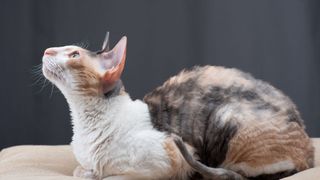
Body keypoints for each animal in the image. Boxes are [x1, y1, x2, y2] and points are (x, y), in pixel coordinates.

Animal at [41, 32, 314, 180]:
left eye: (74, 55)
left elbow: (112, 175)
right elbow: (80, 170)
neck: (85, 124)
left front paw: (97, 172)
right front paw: (88, 171)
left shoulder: (172, 157)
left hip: (228, 120)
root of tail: (309, 154)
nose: (46, 50)